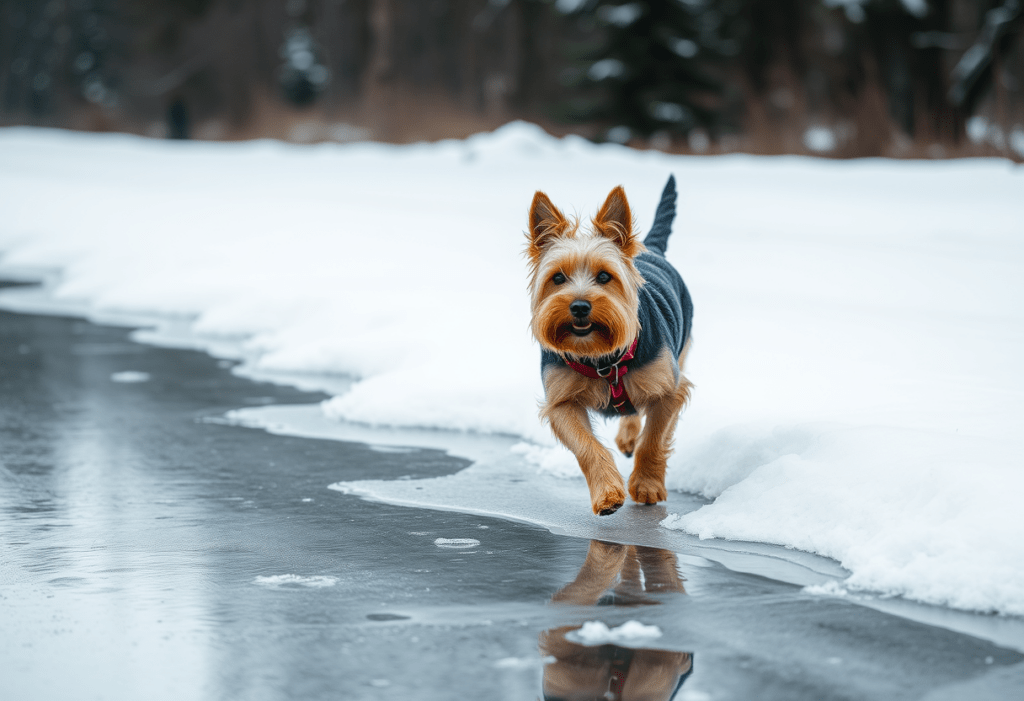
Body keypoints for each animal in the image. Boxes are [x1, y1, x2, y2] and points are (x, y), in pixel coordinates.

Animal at [528, 174, 696, 513]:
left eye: (605, 277)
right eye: (557, 278)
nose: (580, 306)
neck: (600, 357)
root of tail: (652, 249)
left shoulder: (669, 389)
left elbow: (654, 439)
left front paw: (646, 486)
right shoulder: (561, 401)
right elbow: (587, 446)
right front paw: (607, 494)